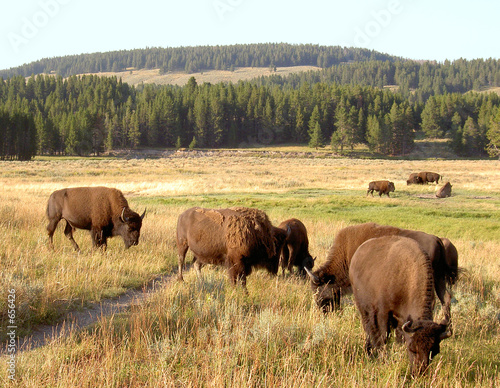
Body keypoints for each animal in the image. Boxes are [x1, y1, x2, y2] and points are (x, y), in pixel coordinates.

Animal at [302, 221, 458, 316]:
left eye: (318, 290)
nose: (323, 310)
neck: (345, 255)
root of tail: (437, 239)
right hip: (438, 277)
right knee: (446, 298)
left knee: (432, 301)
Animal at [348, 235, 454, 378]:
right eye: (412, 348)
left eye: (435, 351)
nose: (419, 373)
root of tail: (358, 253)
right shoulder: (383, 311)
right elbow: (383, 335)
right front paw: (382, 359)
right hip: (363, 307)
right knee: (368, 327)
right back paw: (369, 350)